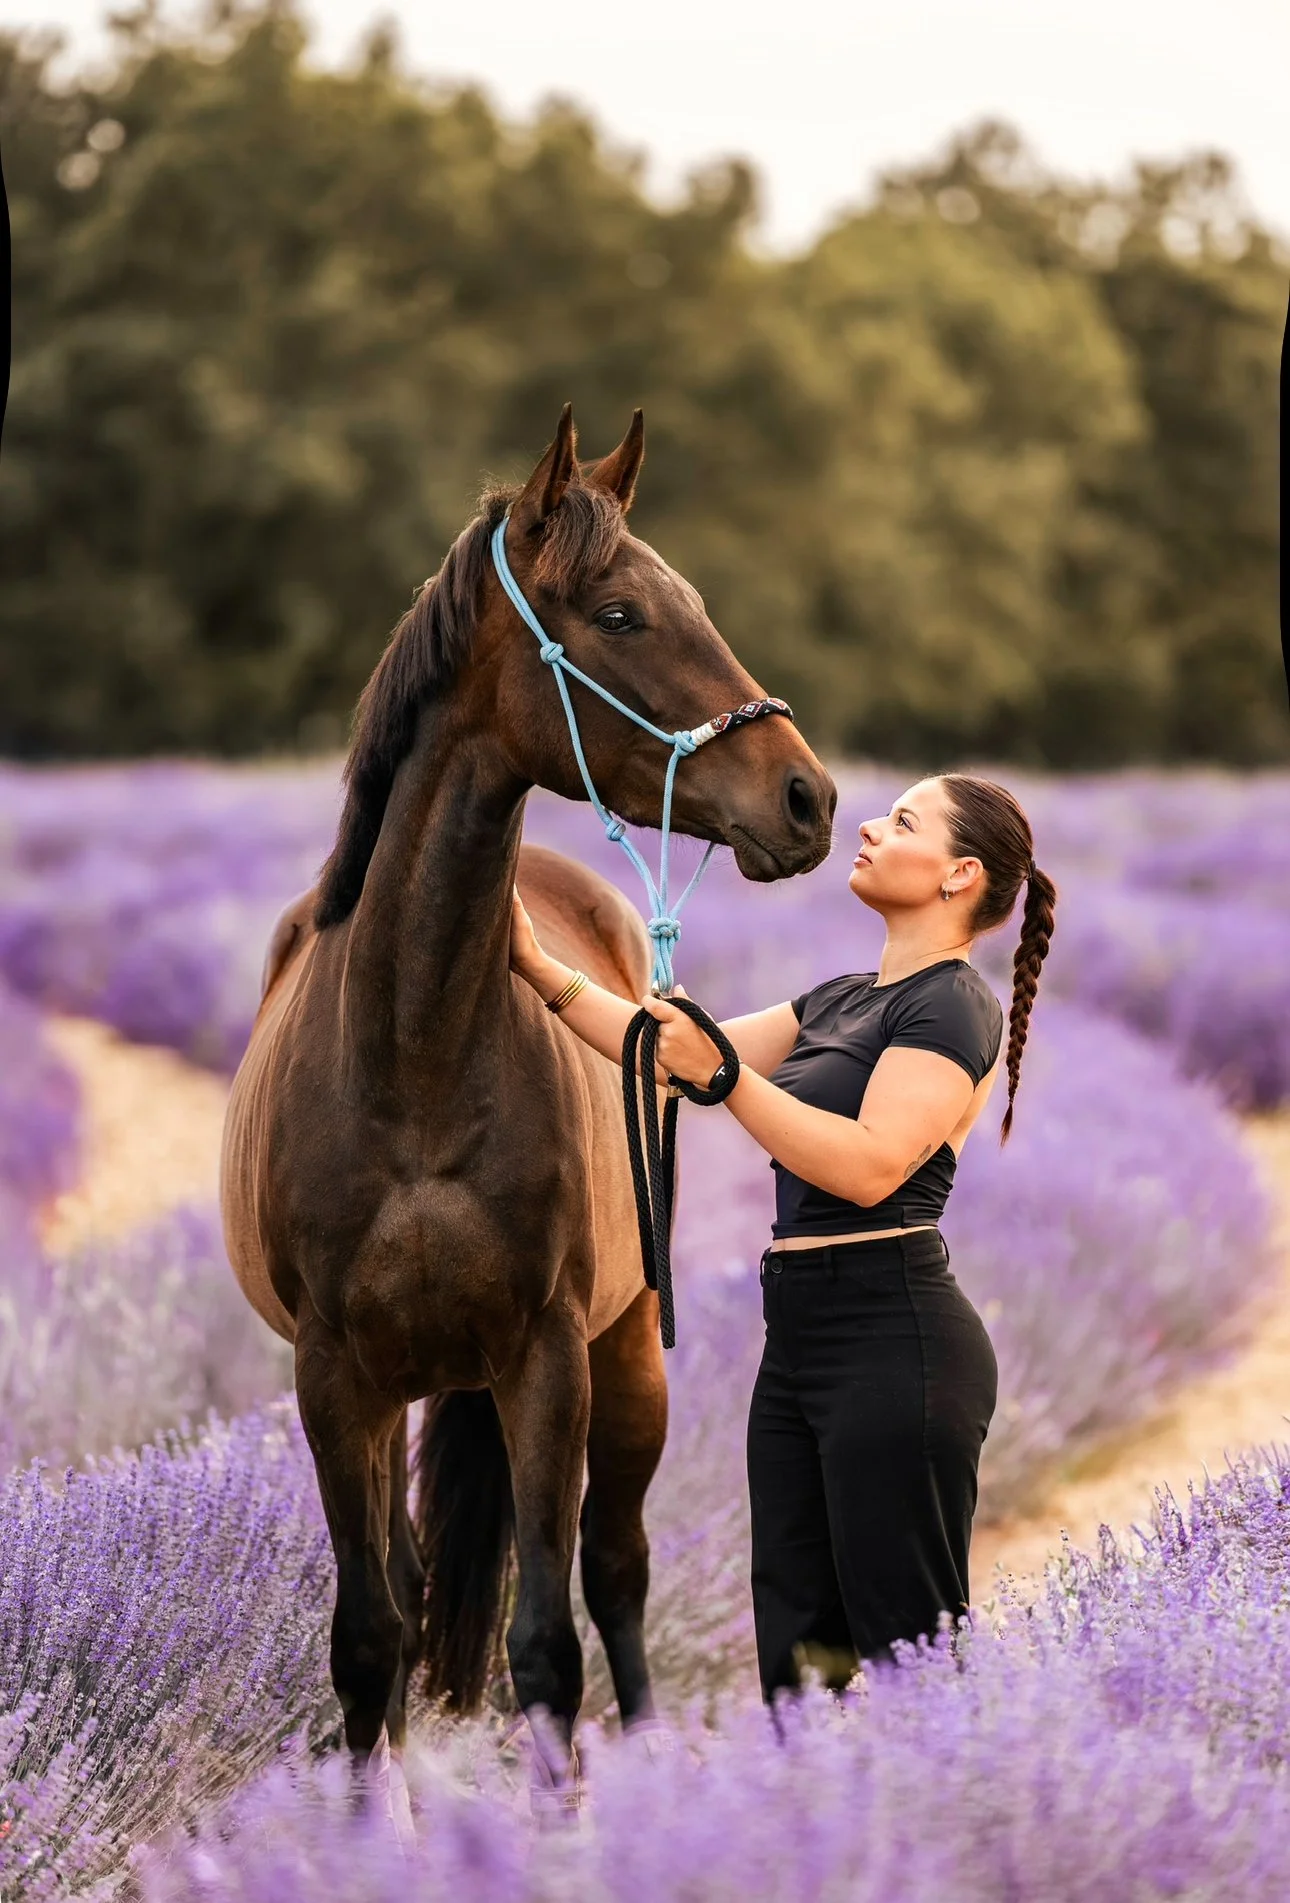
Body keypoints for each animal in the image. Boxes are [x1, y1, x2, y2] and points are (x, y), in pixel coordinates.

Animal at [219, 405, 837, 1810]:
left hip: (627, 1357)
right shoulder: (333, 1376)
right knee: (411, 1594)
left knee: (616, 1570)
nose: (809, 797)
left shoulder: (545, 1354)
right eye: (618, 614)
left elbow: (548, 1641)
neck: (414, 1055)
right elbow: (368, 1639)